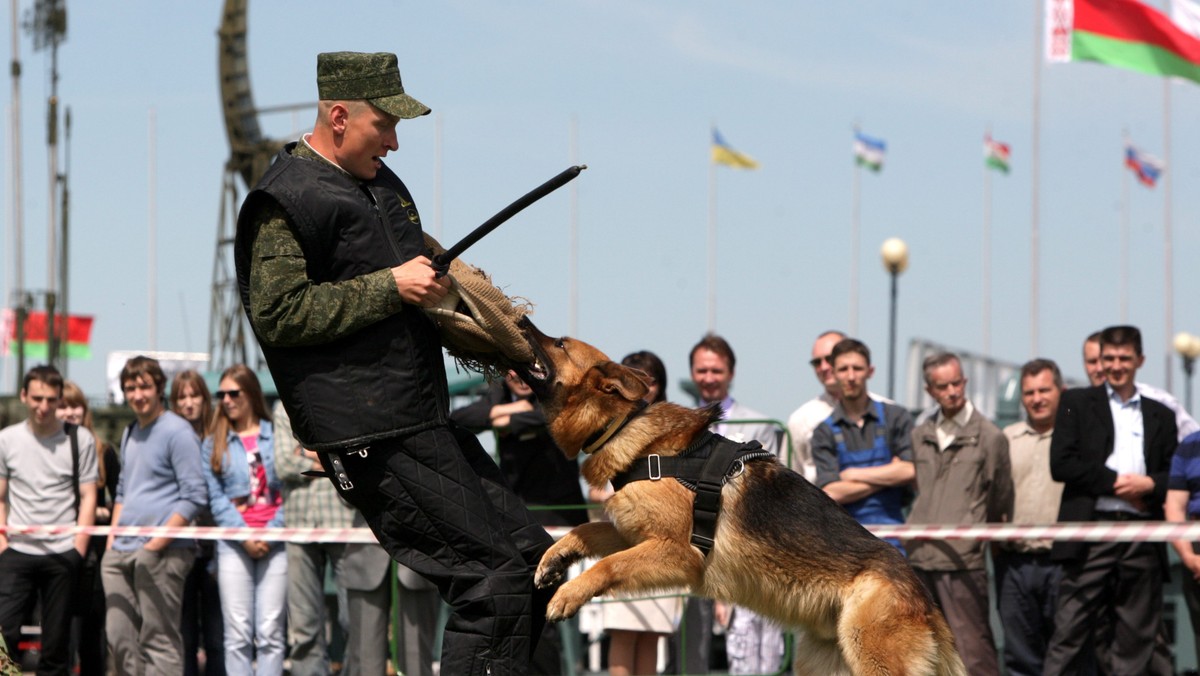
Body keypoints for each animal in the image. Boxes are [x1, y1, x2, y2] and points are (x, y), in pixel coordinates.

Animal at [513, 321, 964, 676]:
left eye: (560, 343)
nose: (520, 320)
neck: (624, 428)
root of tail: (926, 601)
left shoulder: (677, 553)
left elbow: (608, 564)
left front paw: (568, 594)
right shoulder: (636, 536)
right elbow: (588, 529)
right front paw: (555, 559)